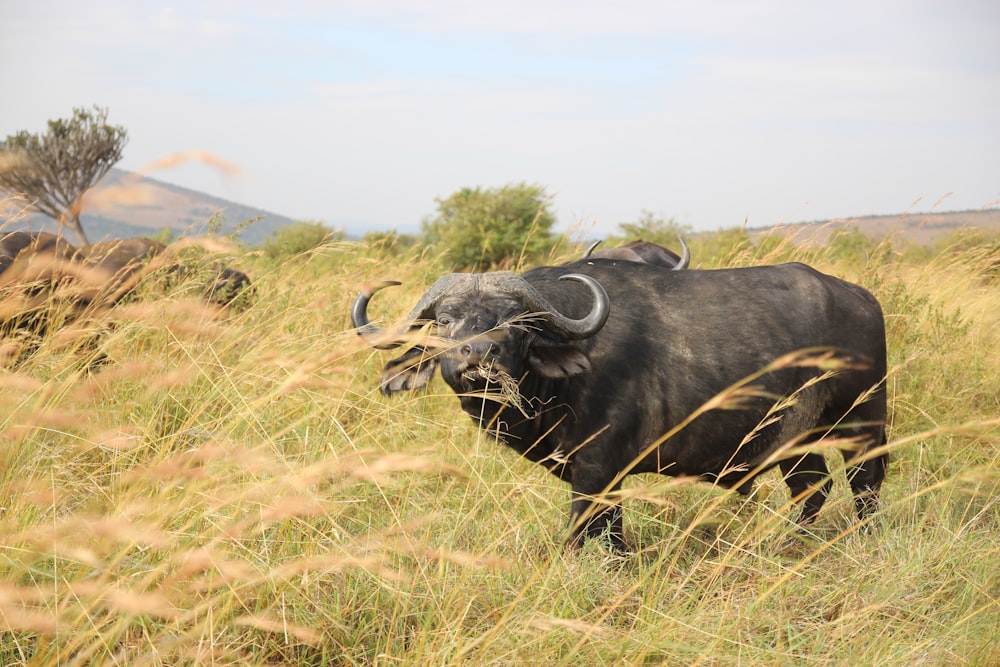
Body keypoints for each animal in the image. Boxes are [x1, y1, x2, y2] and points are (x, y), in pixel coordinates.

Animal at [356, 258, 888, 552]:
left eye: (518, 322)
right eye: (444, 321)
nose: (478, 353)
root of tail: (859, 296)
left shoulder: (597, 471)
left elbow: (587, 531)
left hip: (863, 420)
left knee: (864, 484)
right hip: (795, 438)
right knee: (812, 487)